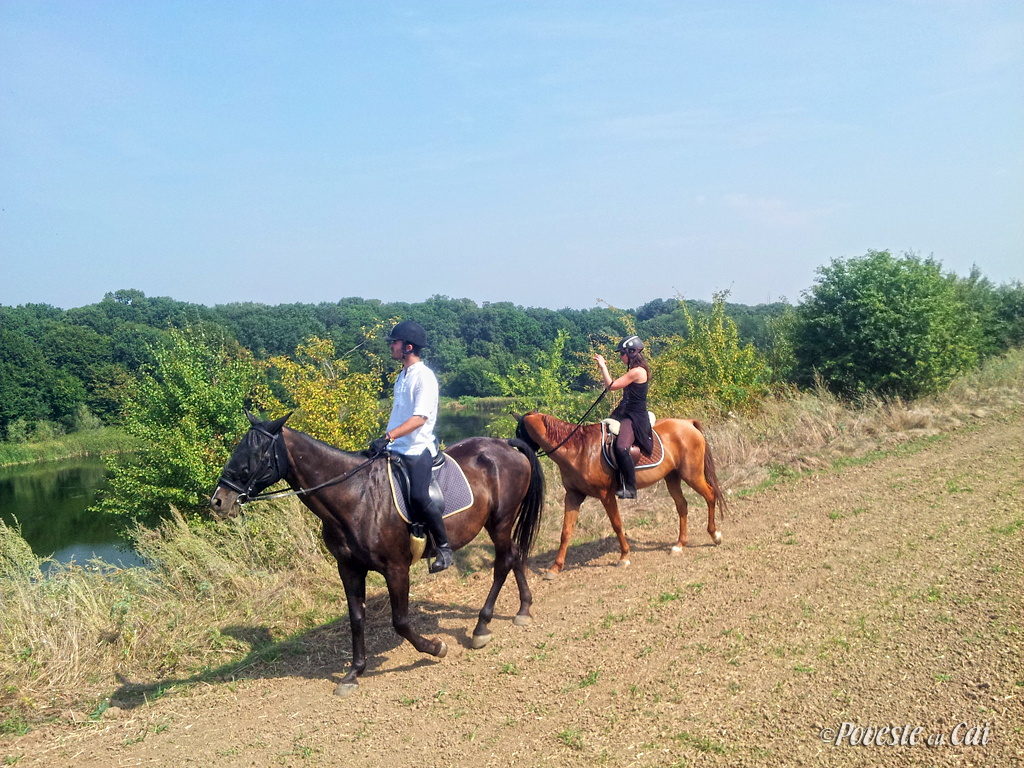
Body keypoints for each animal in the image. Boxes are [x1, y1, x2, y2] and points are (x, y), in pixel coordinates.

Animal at [207, 415, 544, 696]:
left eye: (255, 455)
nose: (219, 502)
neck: (356, 495)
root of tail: (503, 445)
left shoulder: (396, 569)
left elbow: (401, 622)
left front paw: (435, 647)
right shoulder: (349, 568)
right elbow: (357, 619)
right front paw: (353, 673)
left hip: (500, 521)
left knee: (503, 563)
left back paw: (481, 627)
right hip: (499, 524)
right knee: (514, 555)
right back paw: (524, 608)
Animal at [516, 415, 724, 577]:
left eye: (519, 433)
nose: (519, 456)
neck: (579, 450)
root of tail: (687, 423)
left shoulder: (606, 494)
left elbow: (616, 524)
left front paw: (624, 557)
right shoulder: (573, 496)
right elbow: (566, 531)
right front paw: (555, 568)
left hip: (692, 475)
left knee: (710, 495)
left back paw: (715, 535)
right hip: (672, 477)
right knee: (682, 505)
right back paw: (679, 545)